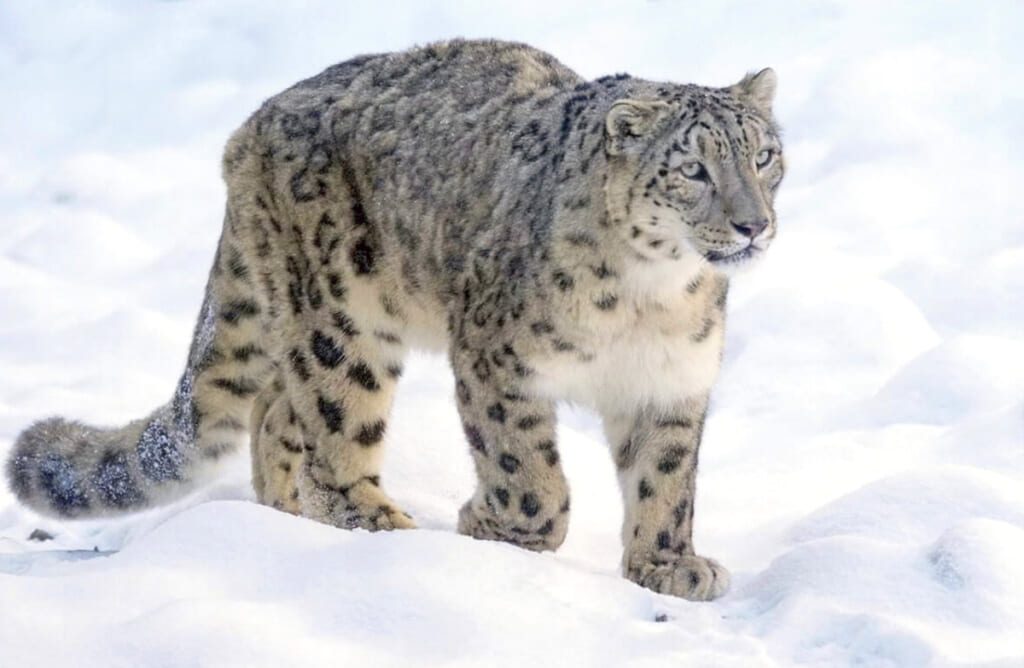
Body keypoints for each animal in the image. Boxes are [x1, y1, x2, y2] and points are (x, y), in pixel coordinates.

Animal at [5, 39, 784, 601]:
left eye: (765, 155)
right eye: (693, 169)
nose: (753, 225)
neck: (653, 297)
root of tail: (251, 125)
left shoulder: (671, 382)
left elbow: (667, 480)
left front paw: (668, 565)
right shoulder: (498, 361)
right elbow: (529, 474)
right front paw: (491, 525)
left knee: (275, 410)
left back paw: (285, 516)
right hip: (342, 320)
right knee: (330, 425)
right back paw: (375, 522)